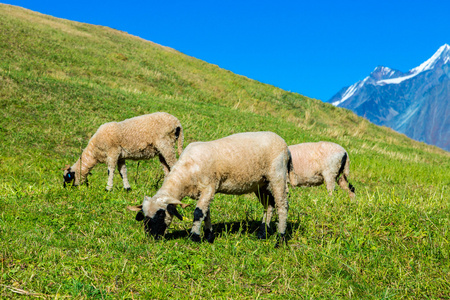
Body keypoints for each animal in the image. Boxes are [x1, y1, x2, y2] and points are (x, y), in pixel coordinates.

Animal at [127, 131, 296, 246]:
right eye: (144, 215)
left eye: (161, 214)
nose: (151, 236)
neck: (186, 171)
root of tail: (285, 147)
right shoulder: (203, 192)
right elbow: (206, 213)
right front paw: (208, 236)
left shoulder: (209, 187)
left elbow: (198, 212)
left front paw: (194, 237)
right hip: (261, 184)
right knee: (269, 205)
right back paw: (263, 233)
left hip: (277, 175)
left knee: (282, 206)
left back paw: (280, 238)